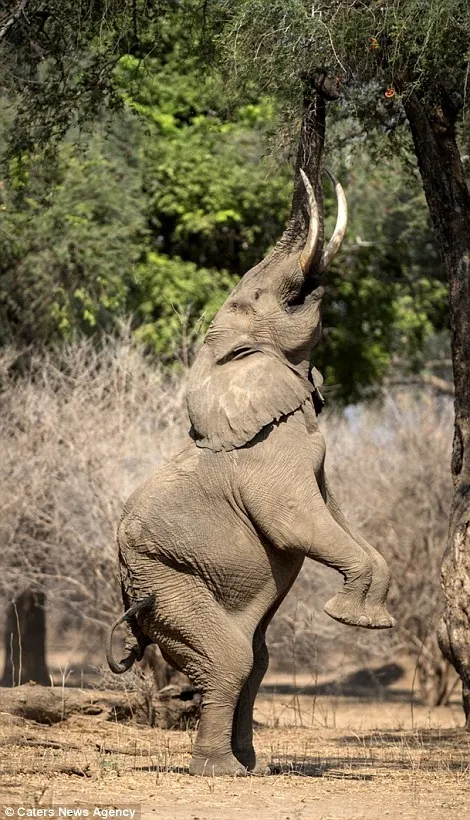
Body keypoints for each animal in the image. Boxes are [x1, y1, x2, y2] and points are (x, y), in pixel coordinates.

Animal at [105, 165, 392, 776]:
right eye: (261, 297)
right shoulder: (266, 455)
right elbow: (297, 522)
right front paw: (354, 618)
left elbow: (334, 515)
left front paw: (366, 615)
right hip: (165, 579)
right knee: (231, 659)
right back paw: (220, 772)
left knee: (257, 661)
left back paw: (250, 768)